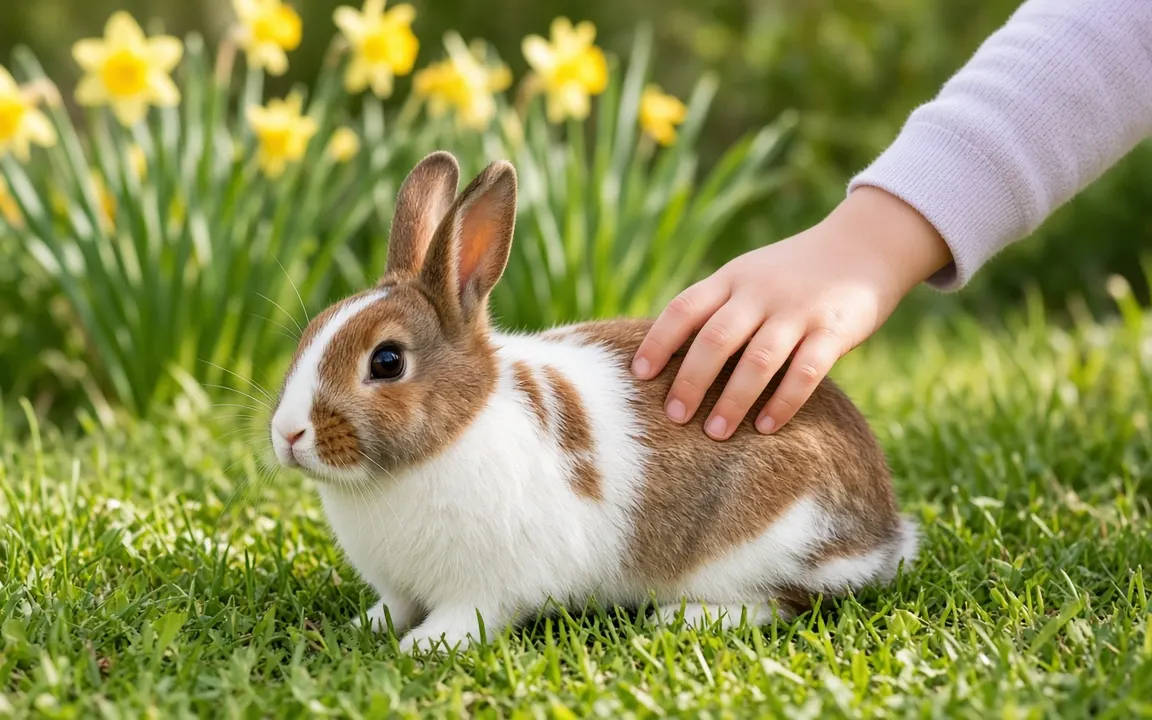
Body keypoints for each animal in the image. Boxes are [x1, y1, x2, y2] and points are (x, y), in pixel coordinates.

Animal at [268, 150, 918, 653]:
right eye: (311, 333)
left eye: (387, 361)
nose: (289, 434)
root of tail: (885, 531)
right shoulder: (400, 585)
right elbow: (395, 606)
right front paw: (369, 626)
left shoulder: (491, 583)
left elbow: (471, 614)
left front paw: (425, 646)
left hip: (768, 541)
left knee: (785, 599)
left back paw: (682, 618)